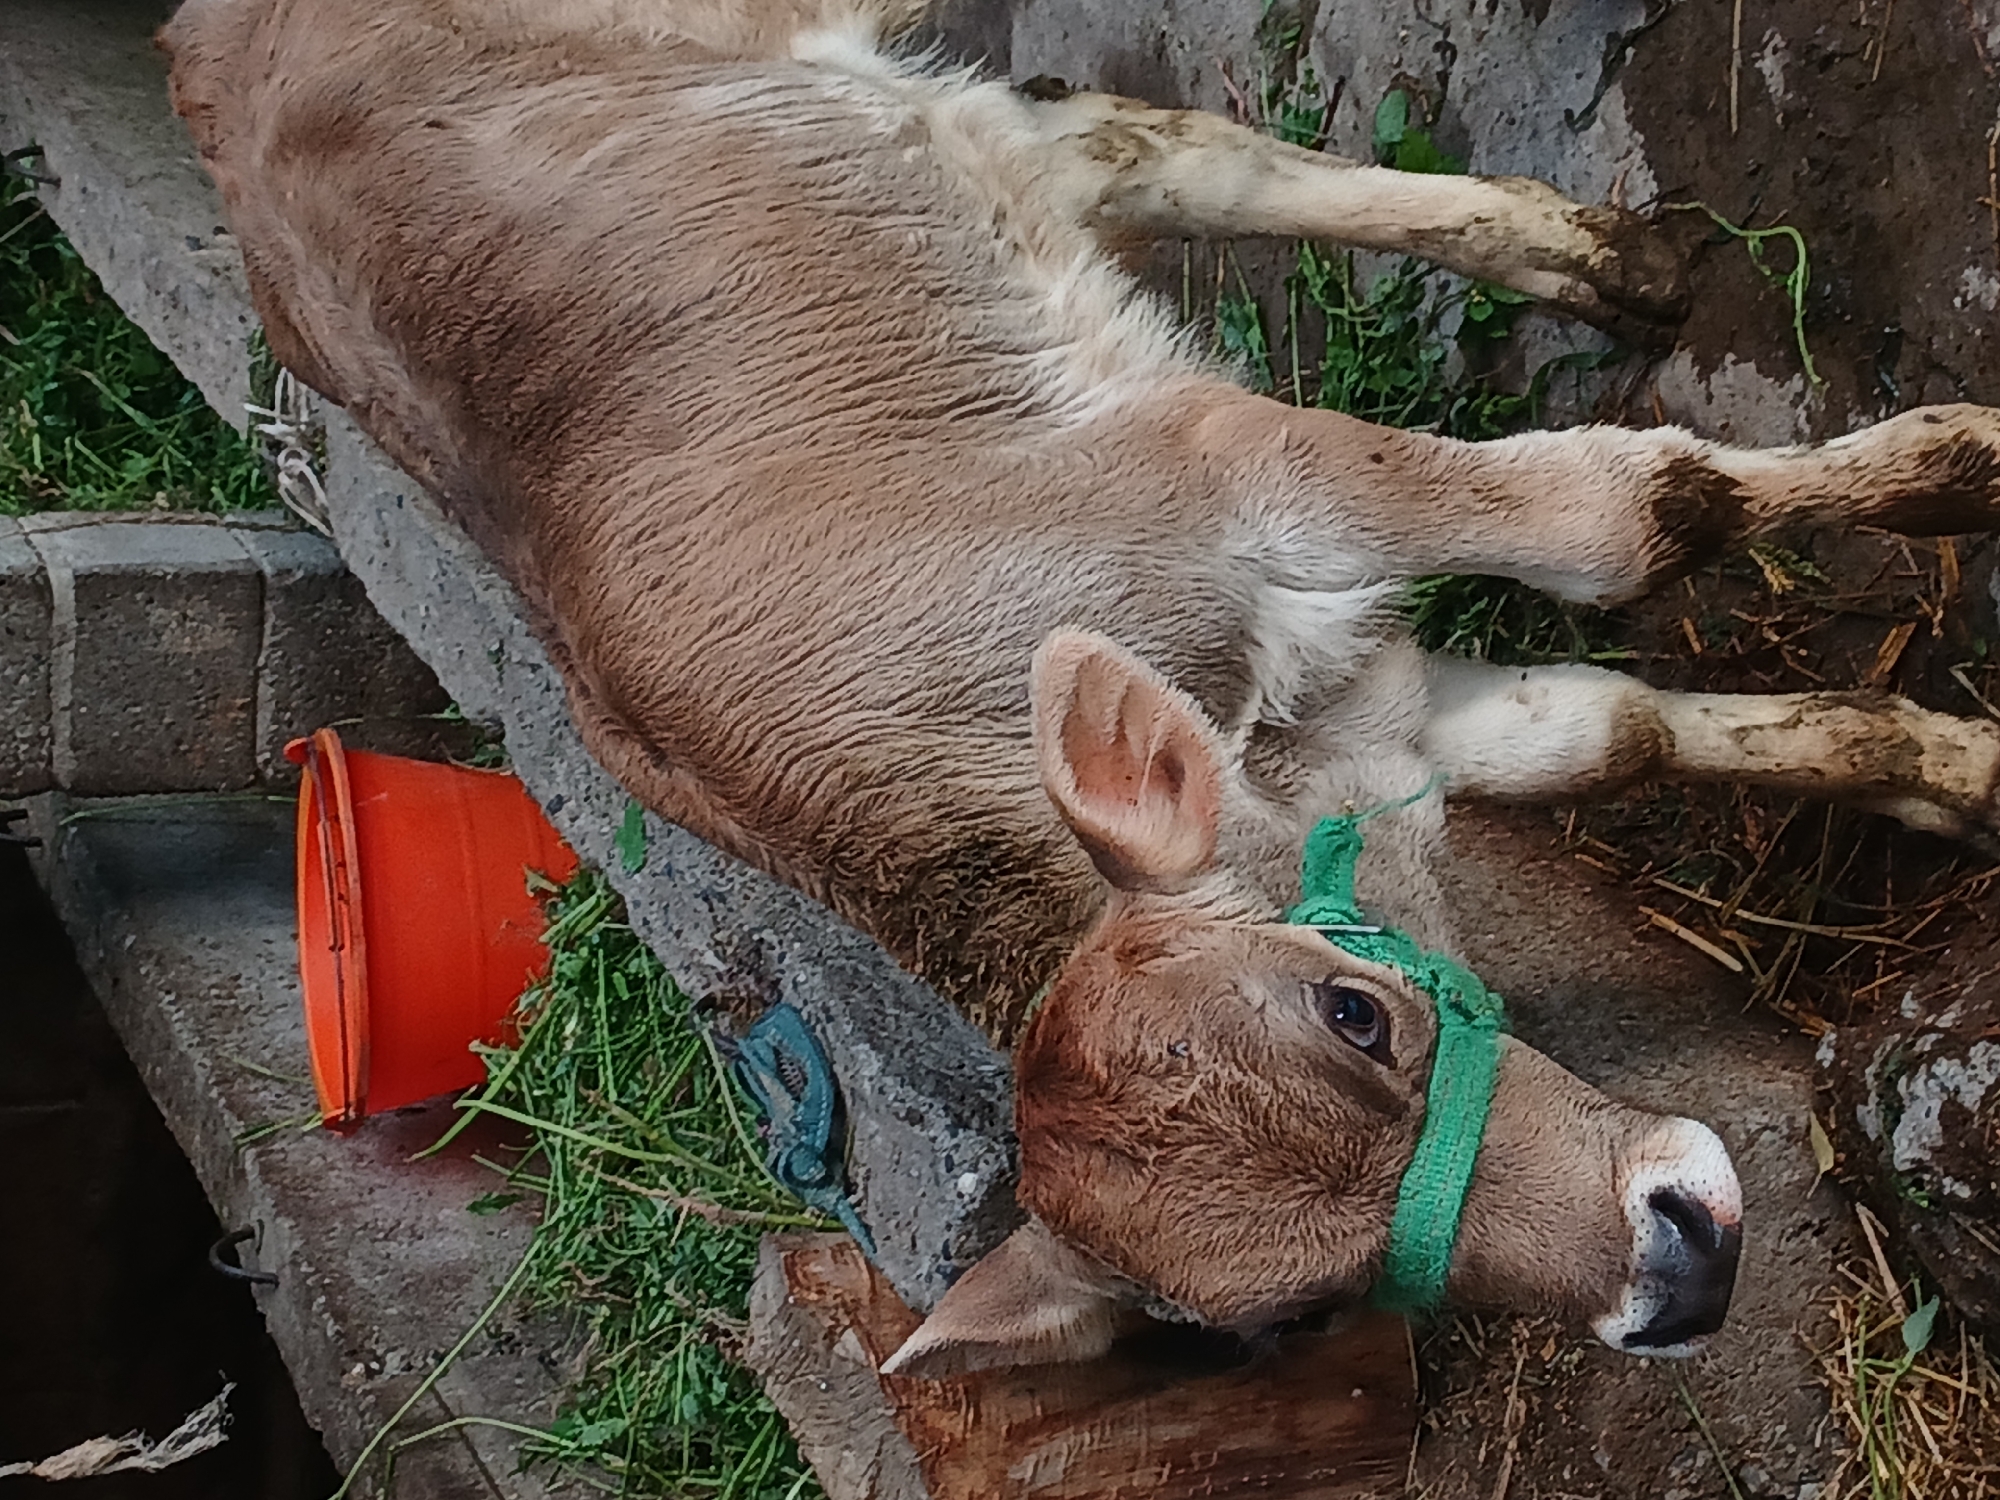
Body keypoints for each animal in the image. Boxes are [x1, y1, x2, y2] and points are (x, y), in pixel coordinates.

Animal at [162, 0, 2000, 1378]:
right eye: (1299, 1311)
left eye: (1354, 1013)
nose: (1678, 1275)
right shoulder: (1366, 716)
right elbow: (1606, 727)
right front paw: (1945, 773)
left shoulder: (1246, 475)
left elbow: (1637, 520)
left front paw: (1956, 466)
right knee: (1133, 145)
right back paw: (1593, 257)